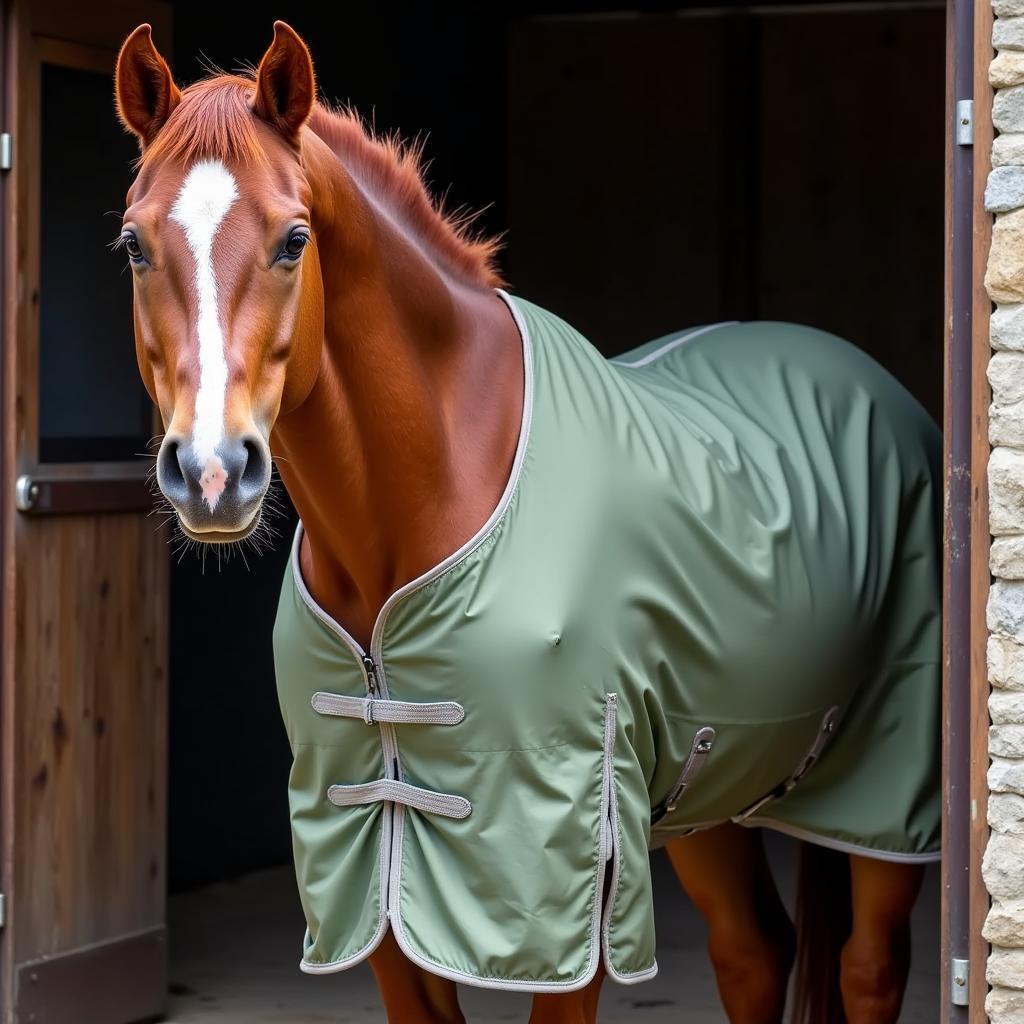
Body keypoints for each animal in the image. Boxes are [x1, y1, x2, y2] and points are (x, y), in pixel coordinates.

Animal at [114, 19, 929, 1019]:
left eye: (294, 238)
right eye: (135, 244)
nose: (212, 472)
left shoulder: (570, 892)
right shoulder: (375, 882)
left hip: (885, 795)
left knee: (866, 965)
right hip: (708, 786)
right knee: (753, 953)